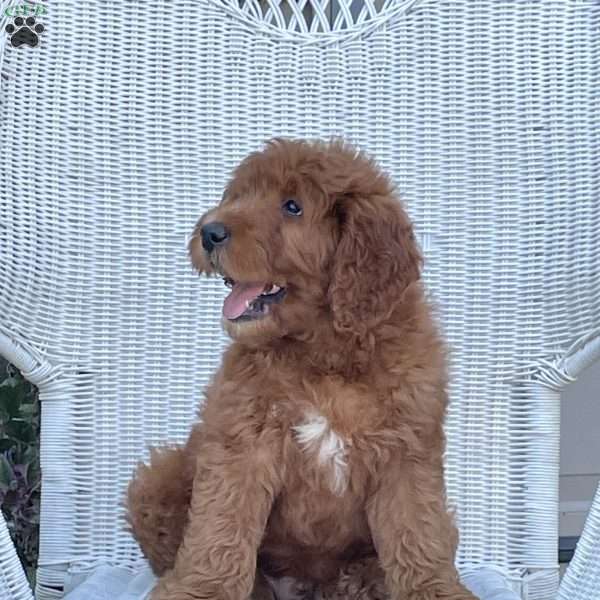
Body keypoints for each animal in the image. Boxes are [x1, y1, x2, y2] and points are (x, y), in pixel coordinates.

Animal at [126, 137, 478, 600]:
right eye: (238, 196)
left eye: (292, 206)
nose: (209, 232)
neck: (322, 354)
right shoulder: (241, 442)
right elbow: (219, 530)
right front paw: (202, 591)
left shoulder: (406, 451)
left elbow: (417, 534)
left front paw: (434, 591)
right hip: (159, 478)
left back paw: (360, 580)